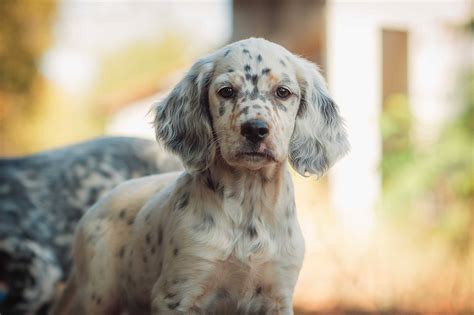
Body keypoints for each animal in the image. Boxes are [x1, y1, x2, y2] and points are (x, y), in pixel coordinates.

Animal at [52, 38, 348, 314]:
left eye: (283, 92)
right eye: (226, 91)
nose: (255, 129)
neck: (248, 202)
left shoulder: (278, 293)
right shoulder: (179, 292)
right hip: (98, 295)